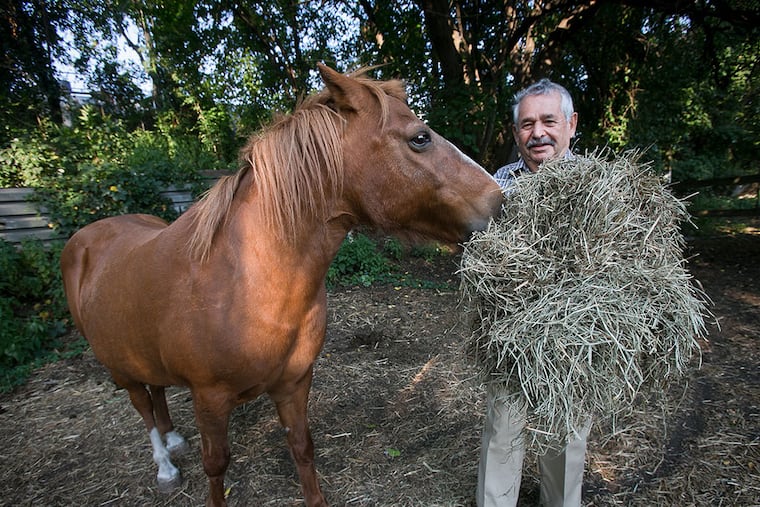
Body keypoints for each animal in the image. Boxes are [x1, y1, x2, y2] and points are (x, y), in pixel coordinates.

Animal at [60, 64, 503, 507]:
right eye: (420, 138)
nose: (500, 201)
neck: (245, 282)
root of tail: (84, 239)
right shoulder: (209, 399)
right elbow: (216, 466)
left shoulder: (294, 384)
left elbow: (302, 447)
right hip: (120, 369)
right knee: (143, 406)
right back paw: (165, 465)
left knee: (157, 393)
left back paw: (173, 441)